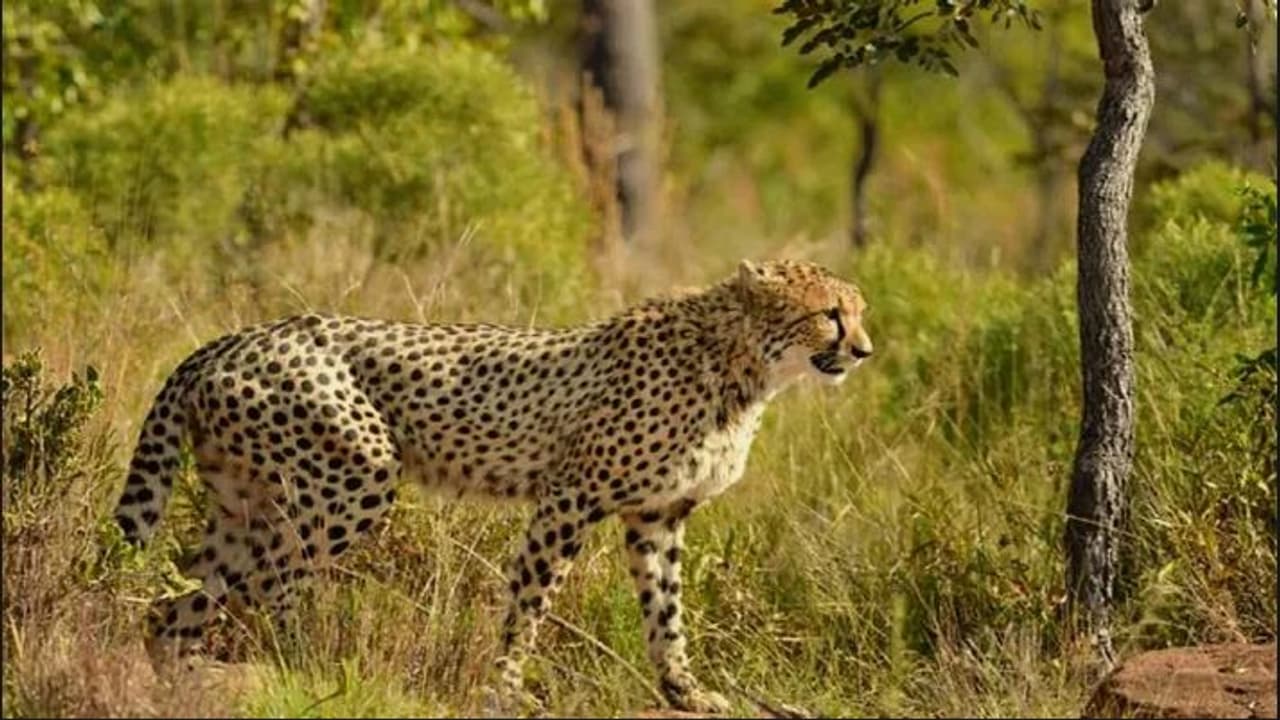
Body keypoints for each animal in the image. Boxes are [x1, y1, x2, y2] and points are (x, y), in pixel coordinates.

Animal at [113, 258, 874, 714]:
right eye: (830, 314)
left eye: (859, 312)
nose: (864, 350)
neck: (742, 366)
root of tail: (234, 337)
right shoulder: (569, 497)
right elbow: (530, 606)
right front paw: (506, 688)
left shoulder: (657, 517)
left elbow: (667, 615)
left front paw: (685, 692)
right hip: (355, 477)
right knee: (274, 581)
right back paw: (309, 668)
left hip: (247, 504)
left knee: (176, 606)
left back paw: (186, 678)